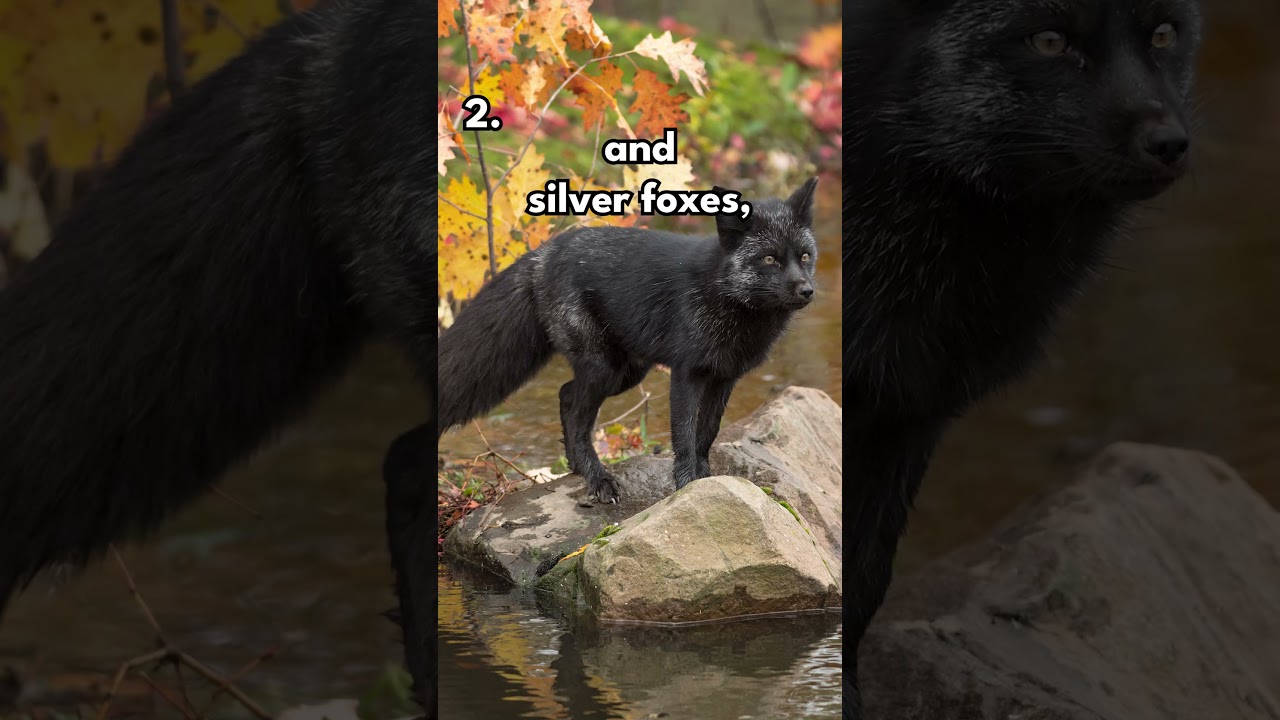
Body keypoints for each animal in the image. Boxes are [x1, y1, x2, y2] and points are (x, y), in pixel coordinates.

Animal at [438, 178, 820, 503]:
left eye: (804, 256)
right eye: (769, 258)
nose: (807, 291)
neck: (726, 295)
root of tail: (545, 253)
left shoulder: (725, 377)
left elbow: (707, 434)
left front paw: (708, 481)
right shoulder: (687, 374)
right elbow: (684, 436)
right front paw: (688, 486)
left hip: (626, 372)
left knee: (565, 394)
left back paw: (577, 467)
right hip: (603, 368)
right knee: (576, 416)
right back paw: (597, 479)